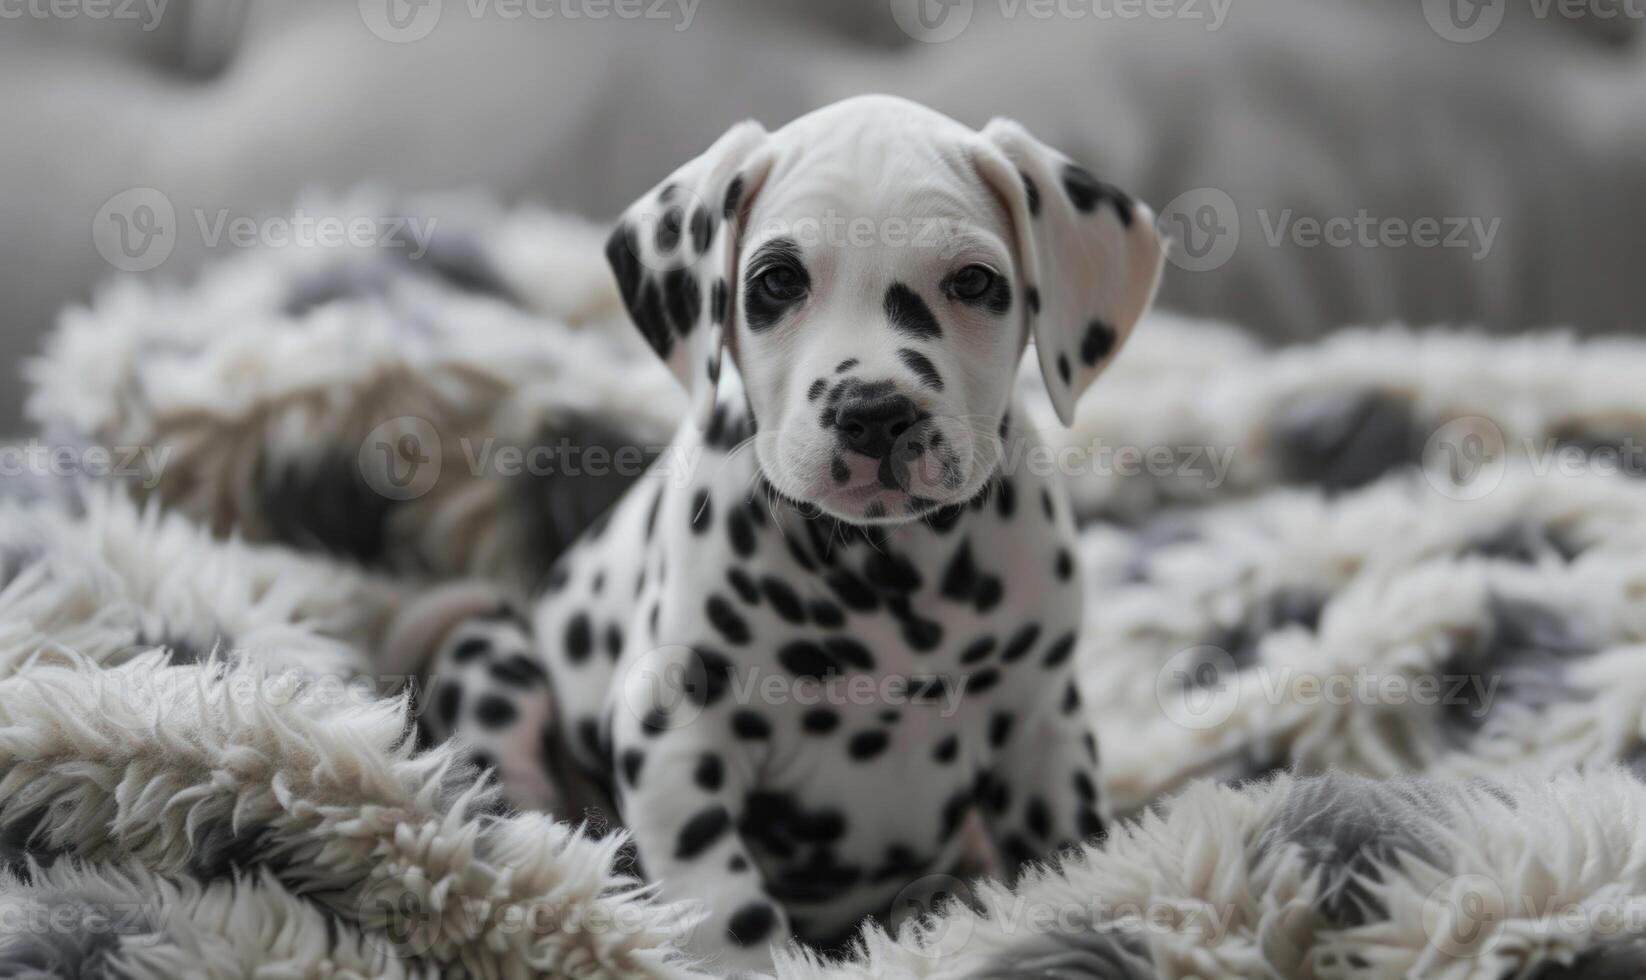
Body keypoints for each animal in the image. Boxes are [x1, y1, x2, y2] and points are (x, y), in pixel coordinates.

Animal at [404, 95, 1165, 968]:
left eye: (973, 281)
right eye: (777, 280)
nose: (875, 412)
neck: (893, 580)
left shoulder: (1041, 728)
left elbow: (1067, 858)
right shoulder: (673, 736)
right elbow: (725, 907)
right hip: (490, 662)